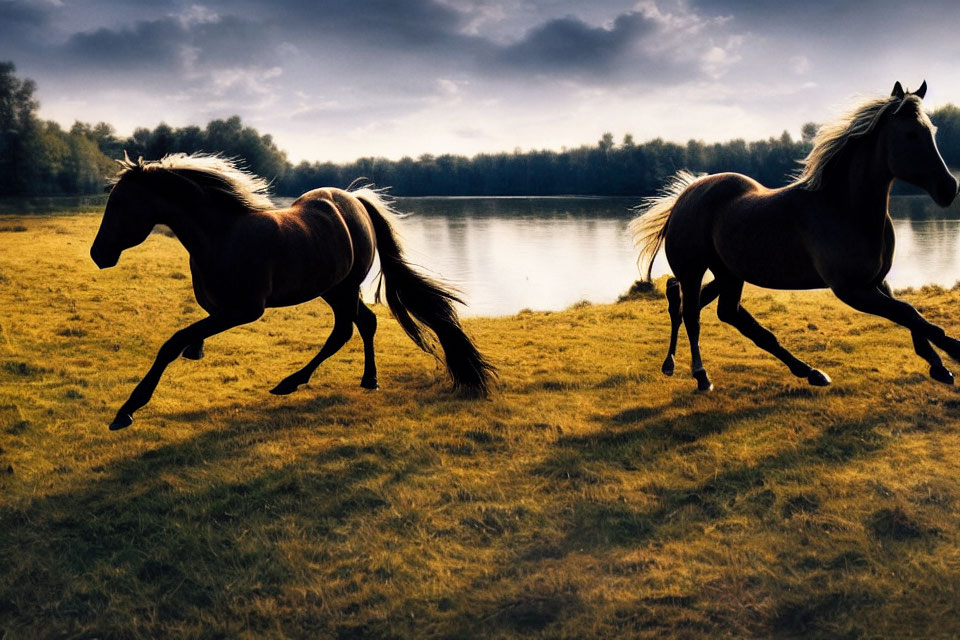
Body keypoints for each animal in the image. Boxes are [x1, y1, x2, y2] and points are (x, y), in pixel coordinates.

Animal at [90, 153, 496, 430]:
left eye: (121, 203)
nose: (98, 254)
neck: (221, 237)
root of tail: (356, 201)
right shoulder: (219, 309)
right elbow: (189, 334)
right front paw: (195, 351)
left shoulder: (244, 310)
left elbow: (171, 343)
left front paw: (126, 410)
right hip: (333, 288)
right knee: (362, 324)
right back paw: (366, 379)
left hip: (344, 288)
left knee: (347, 329)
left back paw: (293, 382)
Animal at [632, 80, 956, 390]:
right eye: (911, 134)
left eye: (932, 131)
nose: (949, 188)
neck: (844, 206)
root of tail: (684, 197)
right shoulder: (852, 289)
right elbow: (912, 314)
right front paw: (954, 354)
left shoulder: (876, 282)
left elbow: (910, 315)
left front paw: (938, 366)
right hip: (694, 270)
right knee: (692, 314)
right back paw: (701, 375)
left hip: (728, 273)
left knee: (718, 310)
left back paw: (808, 371)